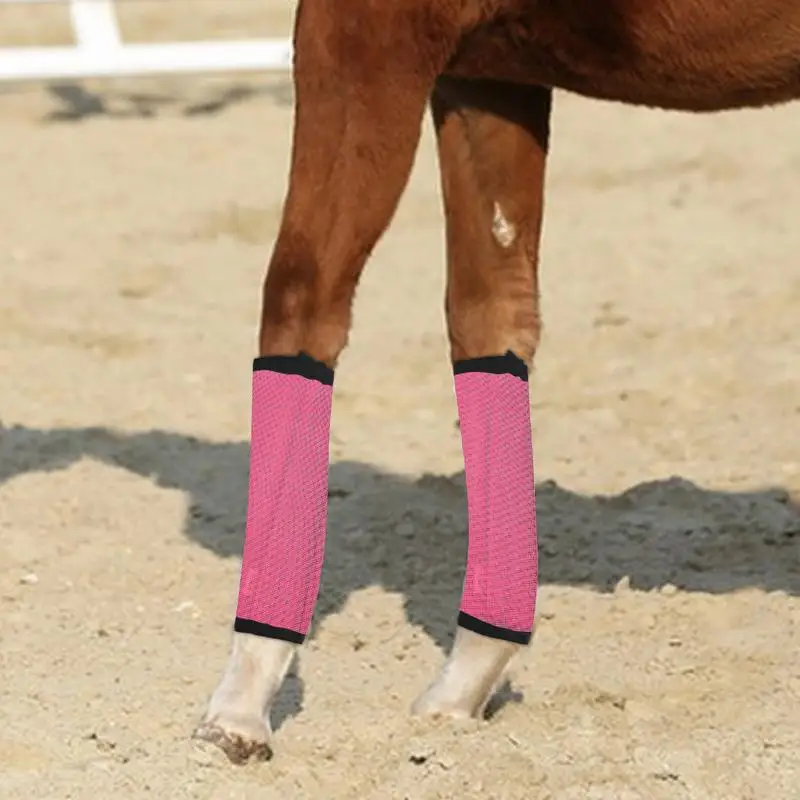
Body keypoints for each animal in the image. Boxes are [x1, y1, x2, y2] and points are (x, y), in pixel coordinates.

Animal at [192, 0, 800, 763]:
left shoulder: (359, 40)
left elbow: (303, 301)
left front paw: (239, 707)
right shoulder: (486, 77)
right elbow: (491, 318)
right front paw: (466, 684)